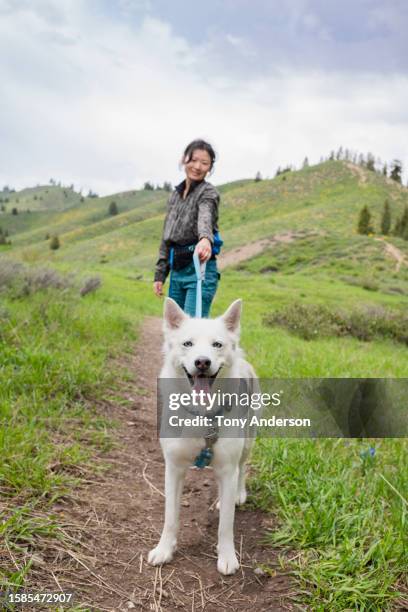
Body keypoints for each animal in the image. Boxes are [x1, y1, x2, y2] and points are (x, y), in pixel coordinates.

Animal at [148, 296, 258, 572]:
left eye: (217, 344)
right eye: (187, 343)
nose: (202, 362)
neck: (202, 414)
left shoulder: (227, 467)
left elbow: (226, 524)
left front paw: (227, 556)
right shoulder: (174, 468)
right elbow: (170, 517)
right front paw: (164, 550)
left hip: (248, 440)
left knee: (242, 469)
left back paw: (237, 494)